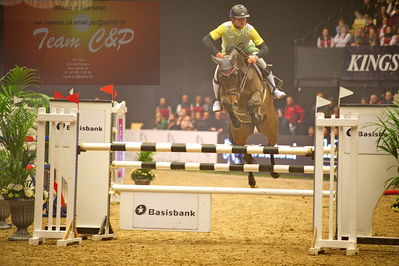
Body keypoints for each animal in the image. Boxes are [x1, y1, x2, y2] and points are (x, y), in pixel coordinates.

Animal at [211, 46, 280, 187]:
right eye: (221, 77)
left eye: (235, 75)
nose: (234, 102)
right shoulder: (225, 96)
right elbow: (226, 103)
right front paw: (236, 121)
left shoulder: (258, 94)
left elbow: (251, 103)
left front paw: (256, 116)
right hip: (241, 138)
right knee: (248, 156)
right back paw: (252, 181)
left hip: (270, 129)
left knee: (270, 147)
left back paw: (274, 172)